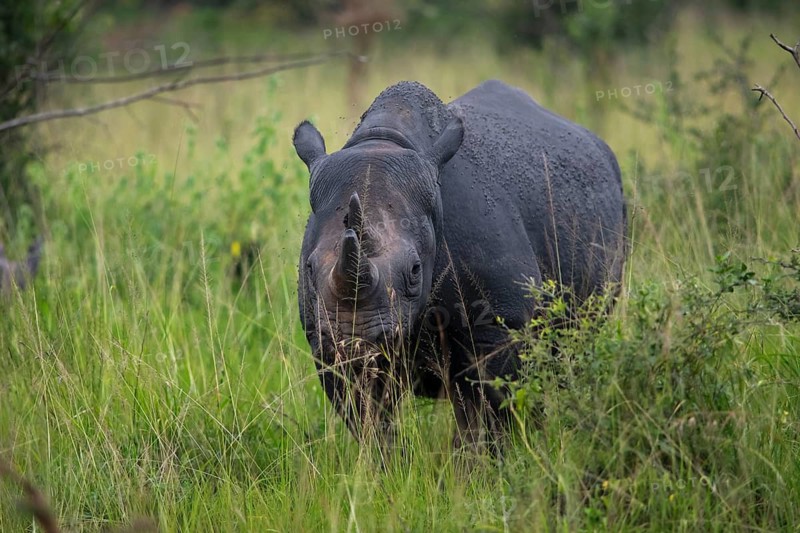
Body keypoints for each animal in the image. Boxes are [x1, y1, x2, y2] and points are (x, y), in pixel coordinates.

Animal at [294, 80, 627, 449]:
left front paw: (478, 464)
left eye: (415, 271)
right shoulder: (323, 337)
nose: (355, 337)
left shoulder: (498, 327)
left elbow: (484, 416)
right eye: (309, 269)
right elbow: (370, 419)